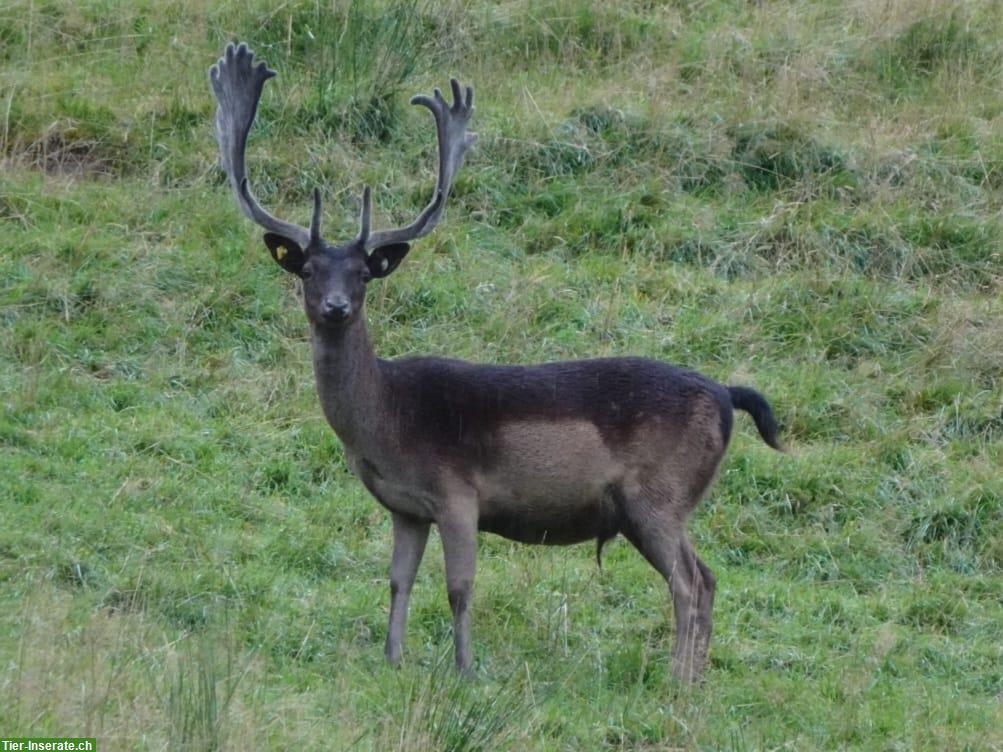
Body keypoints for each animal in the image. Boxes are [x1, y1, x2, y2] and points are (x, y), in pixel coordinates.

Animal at [209, 44, 782, 685]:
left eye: (362, 275)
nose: (336, 306)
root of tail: (728, 396)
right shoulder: (407, 507)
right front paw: (392, 659)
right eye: (308, 270)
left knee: (690, 580)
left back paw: (677, 680)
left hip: (658, 495)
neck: (386, 422)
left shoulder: (458, 491)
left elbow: (460, 586)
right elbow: (397, 580)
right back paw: (695, 680)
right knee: (707, 576)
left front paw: (463, 670)